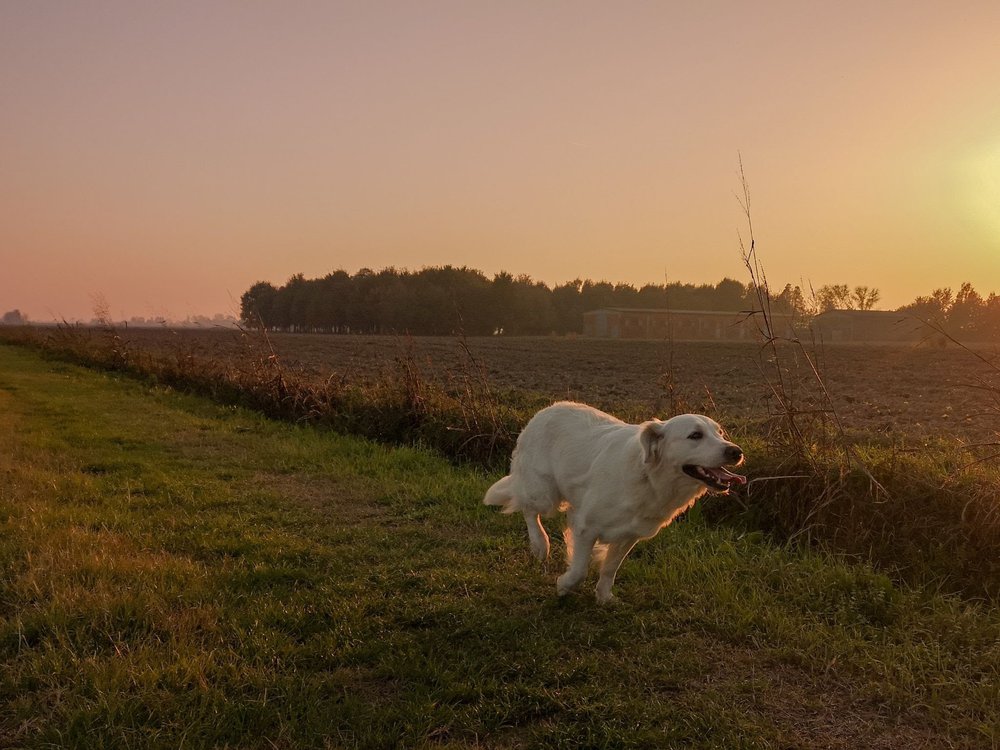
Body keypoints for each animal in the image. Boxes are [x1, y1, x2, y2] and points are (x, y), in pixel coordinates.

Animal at [484, 402, 744, 604]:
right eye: (695, 435)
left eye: (720, 433)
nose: (736, 452)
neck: (649, 478)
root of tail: (546, 409)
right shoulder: (587, 527)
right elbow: (580, 570)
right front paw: (564, 585)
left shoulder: (629, 535)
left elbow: (610, 568)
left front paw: (603, 597)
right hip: (544, 492)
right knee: (527, 508)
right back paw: (540, 544)